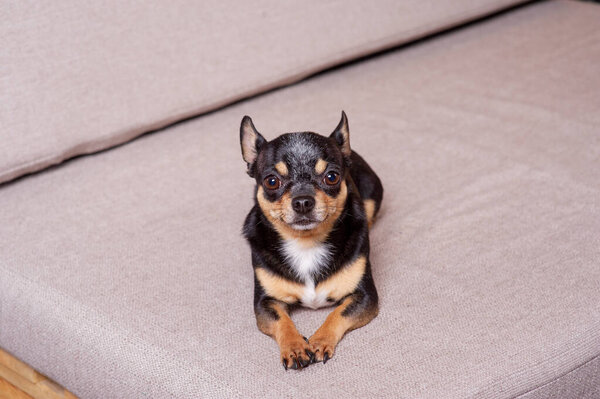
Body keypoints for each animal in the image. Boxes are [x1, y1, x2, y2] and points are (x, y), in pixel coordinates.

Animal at [240, 111, 384, 370]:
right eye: (271, 181)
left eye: (332, 177)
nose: (303, 201)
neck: (306, 243)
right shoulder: (266, 303)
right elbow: (282, 321)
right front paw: (295, 347)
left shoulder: (365, 297)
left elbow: (337, 313)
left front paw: (319, 341)